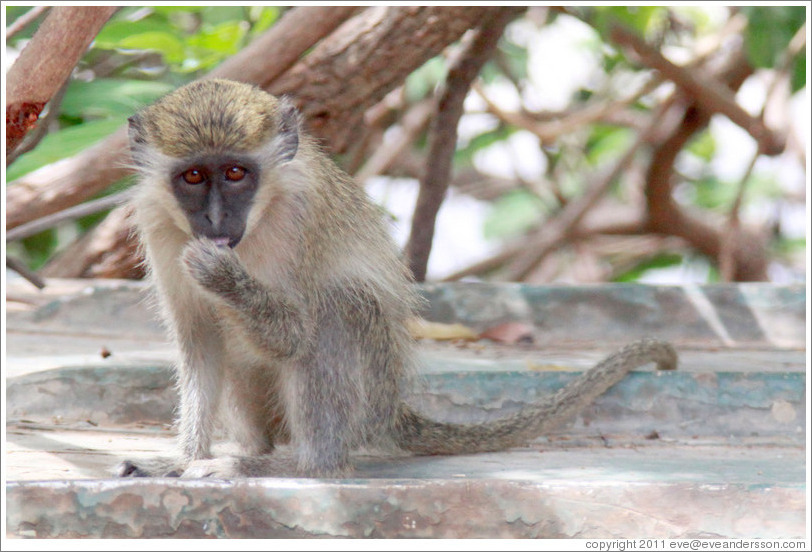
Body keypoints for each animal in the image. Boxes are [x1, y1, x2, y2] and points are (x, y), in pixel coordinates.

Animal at [119, 78, 680, 478]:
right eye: (194, 176)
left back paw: (298, 466)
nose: (215, 222)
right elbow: (201, 341)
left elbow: (294, 334)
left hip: (369, 388)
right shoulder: (158, 222)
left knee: (340, 305)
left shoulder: (304, 216)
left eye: (236, 173)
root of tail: (390, 407)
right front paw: (182, 457)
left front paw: (222, 277)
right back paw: (253, 451)